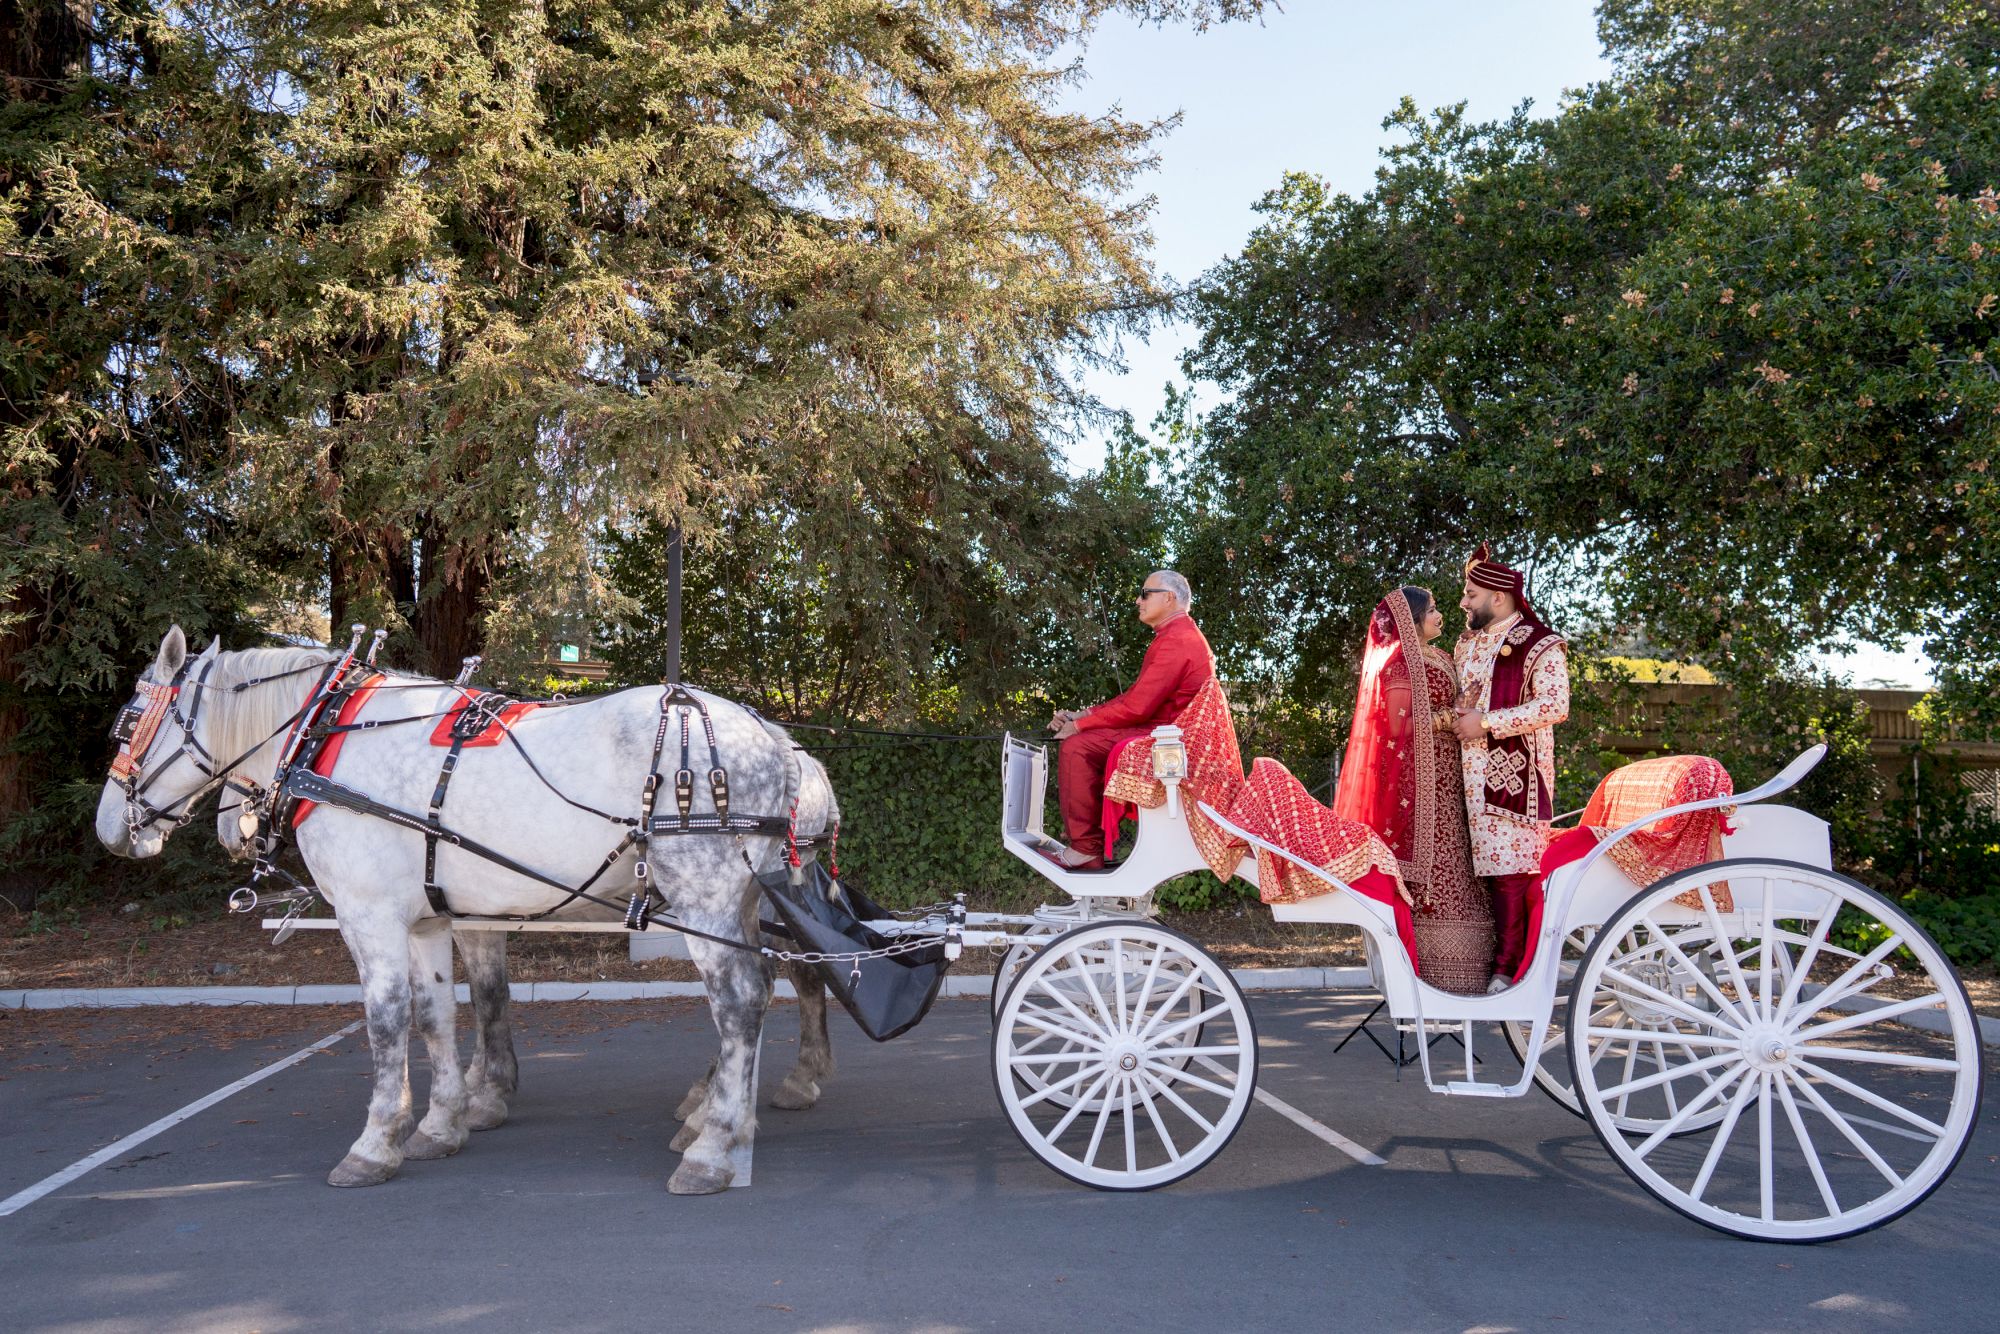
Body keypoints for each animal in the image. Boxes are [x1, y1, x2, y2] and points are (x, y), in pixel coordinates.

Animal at [99, 632, 836, 1192]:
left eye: (129, 724)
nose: (109, 829)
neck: (326, 737)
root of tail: (772, 737)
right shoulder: (431, 918)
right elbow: (438, 1014)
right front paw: (442, 1121)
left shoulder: (369, 916)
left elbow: (387, 1022)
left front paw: (376, 1142)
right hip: (743, 900)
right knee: (773, 981)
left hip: (705, 899)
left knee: (740, 1001)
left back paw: (715, 1146)